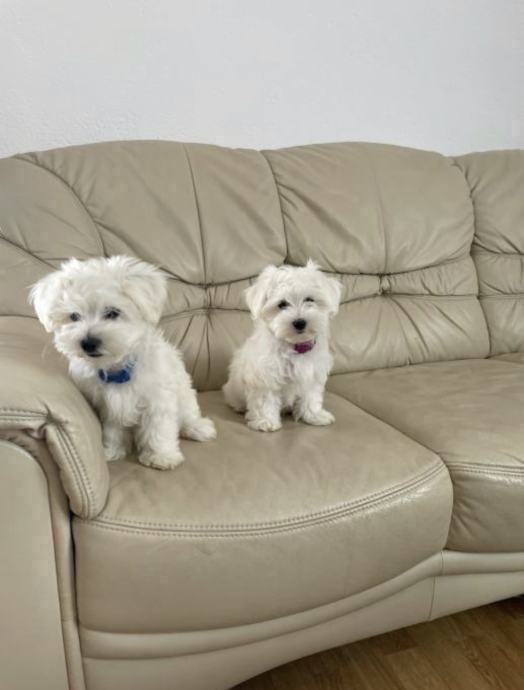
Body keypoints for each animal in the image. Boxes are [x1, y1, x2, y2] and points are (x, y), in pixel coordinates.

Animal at [30, 255, 216, 470]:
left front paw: (161, 456)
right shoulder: (108, 405)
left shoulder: (158, 398)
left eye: (112, 313)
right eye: (74, 316)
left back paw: (197, 428)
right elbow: (113, 428)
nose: (88, 343)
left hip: (185, 394)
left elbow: (158, 427)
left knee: (188, 414)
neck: (118, 367)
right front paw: (112, 450)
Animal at [223, 260, 342, 431]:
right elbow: (265, 399)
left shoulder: (313, 373)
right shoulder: (265, 375)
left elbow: (311, 396)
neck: (294, 346)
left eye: (309, 300)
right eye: (282, 304)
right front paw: (266, 421)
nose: (300, 322)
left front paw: (314, 415)